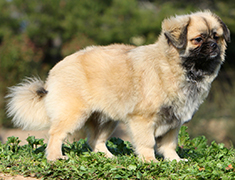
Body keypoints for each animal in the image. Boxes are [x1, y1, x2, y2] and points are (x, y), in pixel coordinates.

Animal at [5, 11, 229, 162]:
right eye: (198, 40)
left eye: (216, 37)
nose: (213, 45)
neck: (177, 67)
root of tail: (57, 68)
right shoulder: (143, 119)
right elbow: (148, 143)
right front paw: (150, 162)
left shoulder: (174, 121)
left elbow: (169, 144)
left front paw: (175, 161)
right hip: (74, 114)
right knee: (55, 135)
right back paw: (55, 157)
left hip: (106, 119)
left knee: (95, 141)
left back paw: (109, 158)